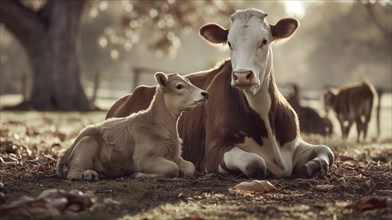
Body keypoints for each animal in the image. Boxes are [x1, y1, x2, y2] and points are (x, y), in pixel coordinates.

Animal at [57, 72, 208, 180]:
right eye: (179, 86)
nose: (205, 93)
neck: (158, 124)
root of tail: (67, 151)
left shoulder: (174, 155)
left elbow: (190, 167)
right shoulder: (143, 158)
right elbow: (172, 168)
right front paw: (139, 174)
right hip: (88, 144)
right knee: (73, 173)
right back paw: (88, 175)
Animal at [106, 8, 334, 179]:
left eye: (264, 41)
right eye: (229, 43)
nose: (242, 76)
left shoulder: (294, 143)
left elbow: (327, 151)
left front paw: (310, 167)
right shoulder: (213, 153)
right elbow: (255, 163)